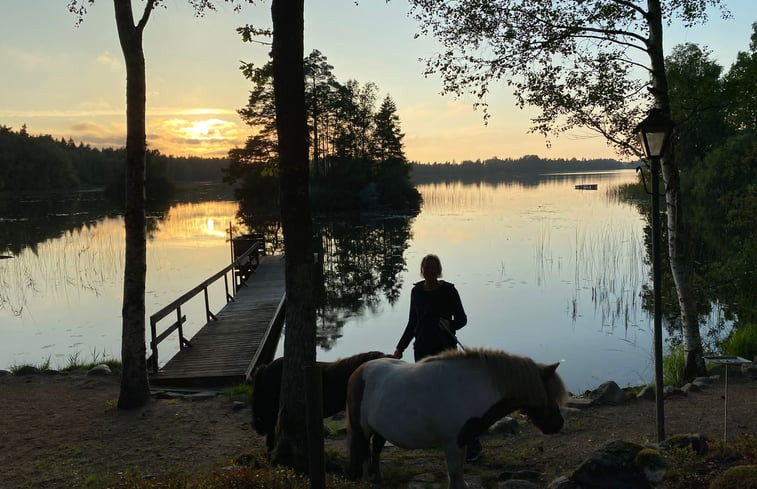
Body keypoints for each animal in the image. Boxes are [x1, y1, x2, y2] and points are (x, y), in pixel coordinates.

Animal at [346, 346, 564, 488]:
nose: (558, 424)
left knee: (376, 449)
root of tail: (358, 372)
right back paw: (367, 480)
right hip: (362, 429)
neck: (471, 388)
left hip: (380, 430)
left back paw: (379, 477)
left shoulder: (463, 439)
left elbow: (459, 473)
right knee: (364, 453)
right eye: (549, 394)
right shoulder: (451, 442)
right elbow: (454, 473)